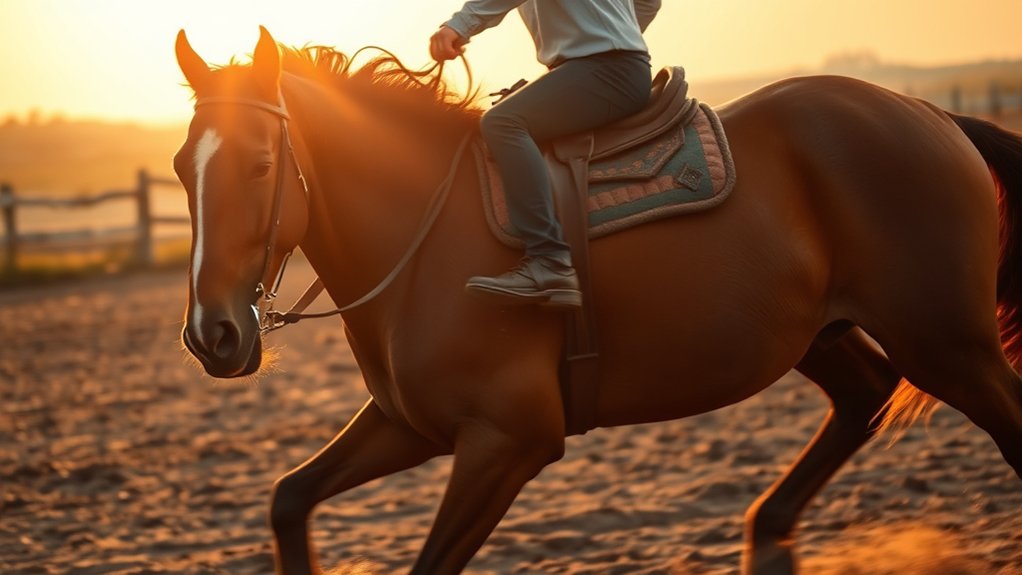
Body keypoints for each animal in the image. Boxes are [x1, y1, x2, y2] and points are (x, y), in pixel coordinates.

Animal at [173, 27, 1022, 575]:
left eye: (258, 164)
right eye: (183, 166)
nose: (212, 335)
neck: (423, 232)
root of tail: (933, 115)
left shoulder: (510, 441)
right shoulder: (409, 424)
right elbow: (288, 499)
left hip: (947, 343)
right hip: (822, 334)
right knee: (864, 394)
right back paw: (769, 539)